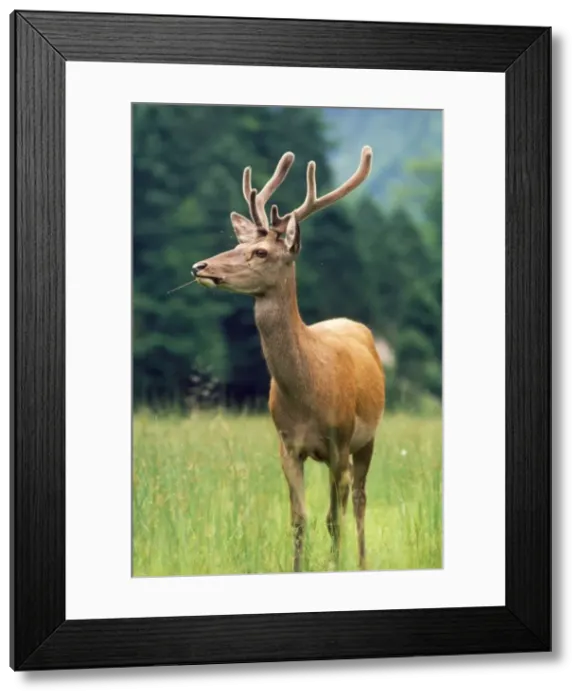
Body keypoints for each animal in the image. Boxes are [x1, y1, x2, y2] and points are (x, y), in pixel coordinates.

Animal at [191, 146, 385, 572]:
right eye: (237, 245)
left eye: (260, 251)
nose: (200, 266)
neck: (308, 395)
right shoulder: (287, 445)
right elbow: (299, 519)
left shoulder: (339, 441)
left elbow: (332, 519)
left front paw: (334, 565)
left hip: (367, 437)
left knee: (359, 502)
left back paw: (362, 562)